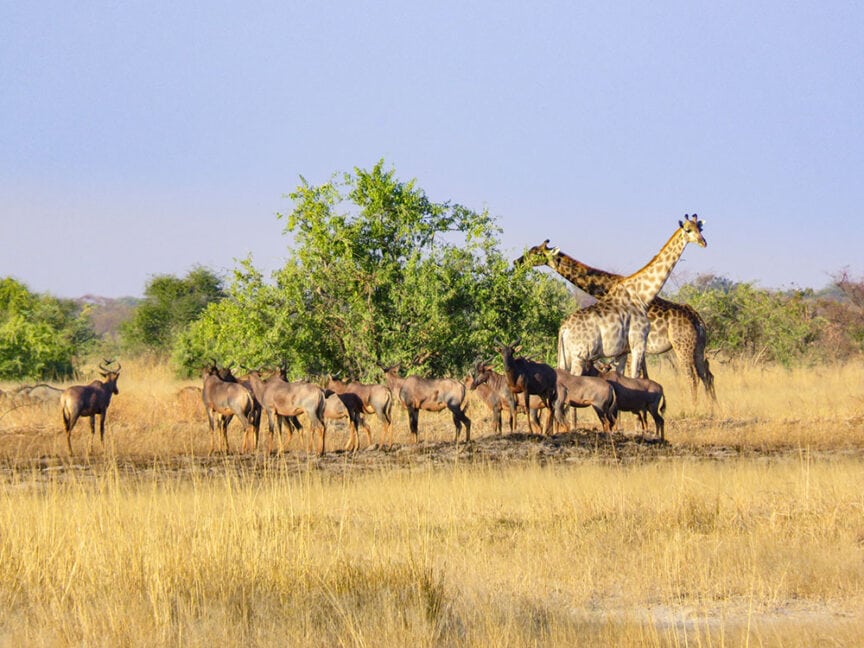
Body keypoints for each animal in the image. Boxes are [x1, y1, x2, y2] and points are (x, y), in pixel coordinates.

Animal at [515, 240, 716, 402]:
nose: (518, 261)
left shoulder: (631, 346)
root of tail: (697, 319)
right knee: (707, 374)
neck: (606, 288)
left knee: (692, 376)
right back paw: (711, 407)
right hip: (698, 346)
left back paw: (694, 406)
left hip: (682, 346)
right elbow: (641, 376)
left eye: (536, 252)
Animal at [554, 215, 707, 380]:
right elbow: (635, 376)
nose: (703, 242)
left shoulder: (624, 351)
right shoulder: (638, 344)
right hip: (580, 356)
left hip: (565, 358)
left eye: (700, 229)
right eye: (688, 230)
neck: (641, 295)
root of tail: (564, 328)